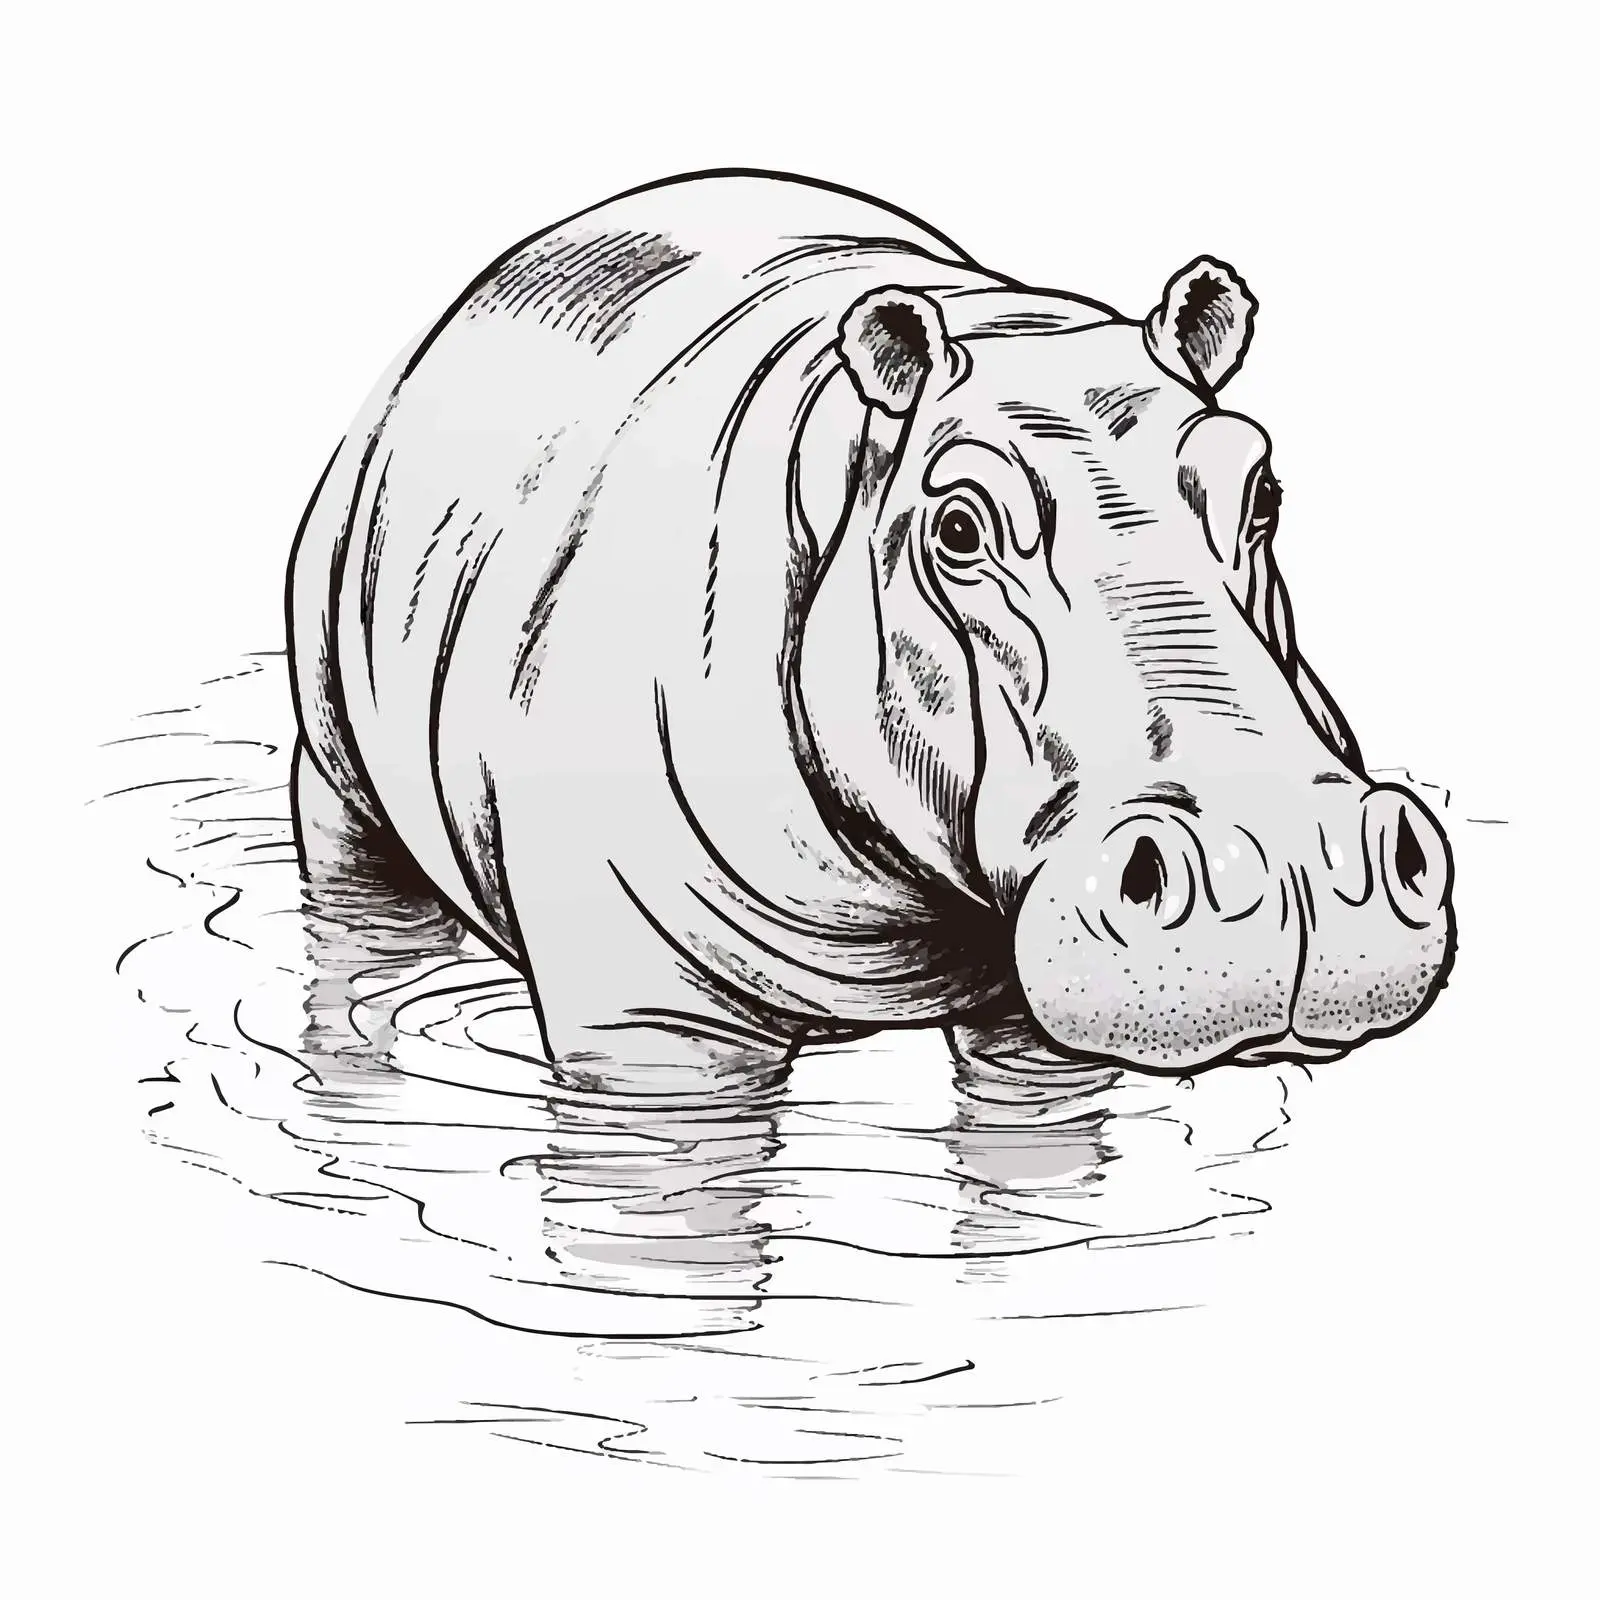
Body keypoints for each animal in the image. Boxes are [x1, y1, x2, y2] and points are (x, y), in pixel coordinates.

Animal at [287, 169, 1454, 1088]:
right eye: (958, 525)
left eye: (1262, 492)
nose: (1292, 870)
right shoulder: (647, 1016)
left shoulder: (1028, 1014)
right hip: (336, 746)